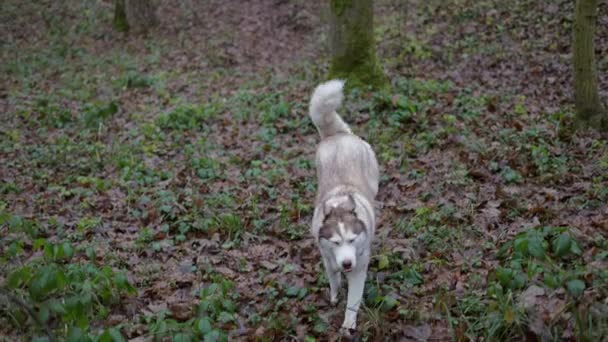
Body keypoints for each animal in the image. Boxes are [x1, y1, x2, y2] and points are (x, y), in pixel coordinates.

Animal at [308, 79, 380, 332]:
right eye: (336, 242)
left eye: (352, 239)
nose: (347, 262)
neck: (339, 204)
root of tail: (337, 135)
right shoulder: (326, 256)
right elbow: (333, 279)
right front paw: (334, 295)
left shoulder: (360, 265)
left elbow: (354, 299)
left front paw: (348, 323)